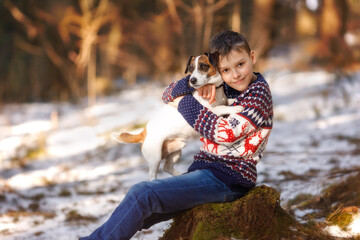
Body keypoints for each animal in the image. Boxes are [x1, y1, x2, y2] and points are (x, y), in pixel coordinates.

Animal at [112, 53, 242, 180]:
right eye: (190, 69)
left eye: (203, 66)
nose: (192, 80)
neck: (214, 88)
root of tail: (143, 132)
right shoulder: (209, 110)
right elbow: (221, 107)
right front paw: (236, 108)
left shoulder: (223, 100)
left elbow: (228, 101)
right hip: (155, 156)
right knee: (152, 174)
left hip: (176, 151)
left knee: (167, 168)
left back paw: (180, 174)